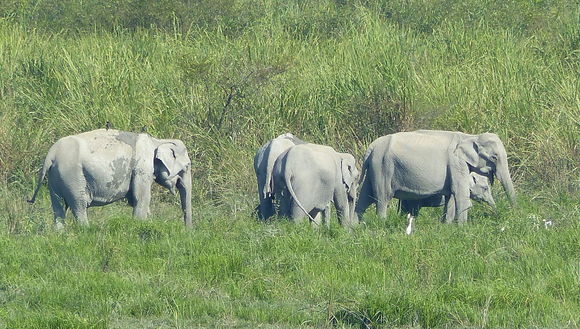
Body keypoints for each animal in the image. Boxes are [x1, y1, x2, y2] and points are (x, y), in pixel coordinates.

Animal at [28, 129, 193, 228]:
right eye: (187, 166)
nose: (187, 232)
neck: (157, 141)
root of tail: (51, 154)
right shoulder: (142, 168)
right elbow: (141, 198)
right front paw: (139, 225)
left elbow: (136, 199)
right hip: (72, 176)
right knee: (79, 205)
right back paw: (86, 231)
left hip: (55, 178)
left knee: (58, 207)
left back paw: (60, 233)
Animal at [356, 129, 516, 222]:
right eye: (494, 157)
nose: (500, 213)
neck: (470, 137)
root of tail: (371, 148)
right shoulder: (456, 163)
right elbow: (459, 193)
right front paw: (462, 229)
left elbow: (451, 196)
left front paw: (446, 226)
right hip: (383, 167)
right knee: (383, 198)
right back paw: (382, 224)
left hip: (374, 168)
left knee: (365, 197)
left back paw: (355, 227)